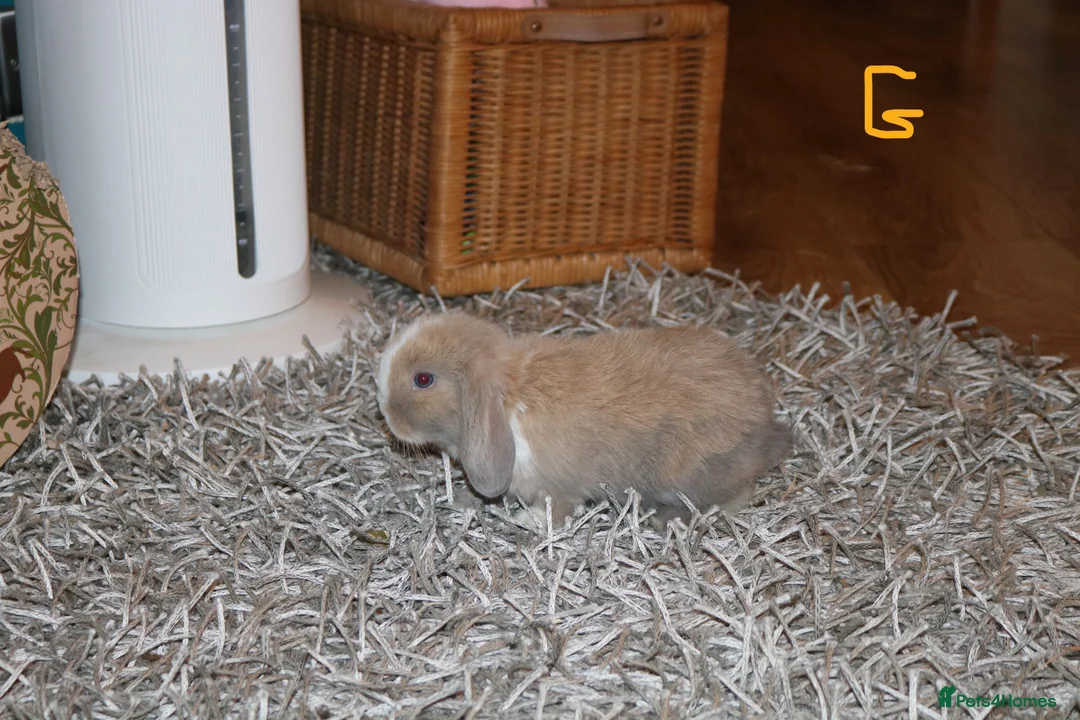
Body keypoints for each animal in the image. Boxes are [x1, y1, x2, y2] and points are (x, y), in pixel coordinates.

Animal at [375, 311, 791, 528]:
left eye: (423, 379)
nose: (385, 414)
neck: (507, 400)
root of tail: (766, 422)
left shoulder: (558, 486)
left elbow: (557, 508)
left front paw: (528, 521)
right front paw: (462, 499)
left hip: (693, 477)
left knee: (734, 497)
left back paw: (666, 518)